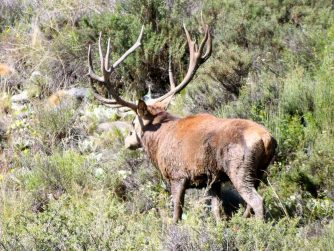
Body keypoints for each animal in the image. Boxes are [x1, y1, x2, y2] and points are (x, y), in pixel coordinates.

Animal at [87, 24, 276, 224]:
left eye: (133, 123)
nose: (127, 141)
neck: (157, 141)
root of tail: (267, 140)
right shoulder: (213, 180)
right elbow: (217, 211)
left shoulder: (177, 175)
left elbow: (177, 213)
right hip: (259, 171)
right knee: (250, 202)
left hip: (240, 168)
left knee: (257, 201)